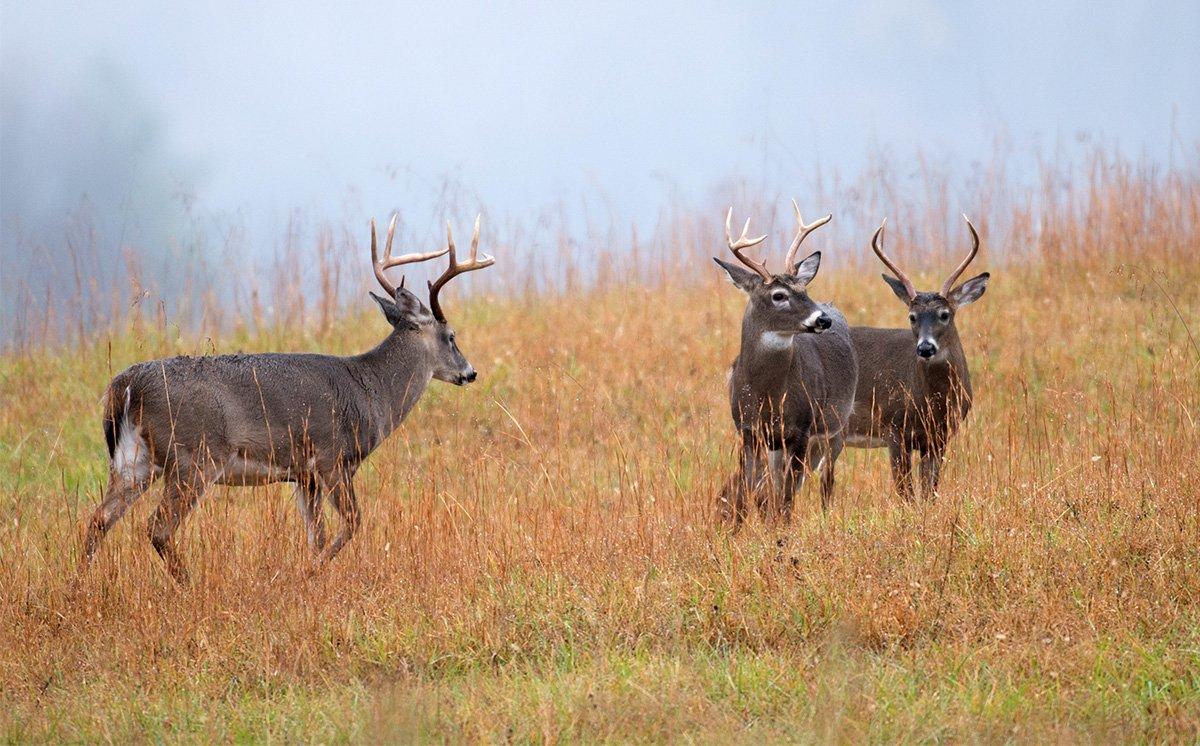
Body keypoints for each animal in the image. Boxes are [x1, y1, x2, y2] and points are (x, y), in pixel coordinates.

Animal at [81, 213, 492, 582]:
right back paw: (188, 585)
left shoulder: (302, 475)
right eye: (452, 336)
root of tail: (126, 384)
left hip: (134, 460)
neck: (371, 391)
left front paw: (310, 574)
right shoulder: (331, 458)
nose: (469, 372)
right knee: (158, 527)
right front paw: (305, 574)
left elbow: (317, 535)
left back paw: (79, 586)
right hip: (193, 457)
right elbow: (353, 523)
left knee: (98, 518)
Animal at [715, 201, 859, 522]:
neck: (766, 395)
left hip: (837, 426)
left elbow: (787, 498)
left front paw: (782, 530)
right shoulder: (747, 431)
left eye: (804, 291)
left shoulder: (800, 429)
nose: (822, 319)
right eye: (779, 295)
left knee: (826, 481)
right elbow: (750, 490)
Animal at [840, 215, 988, 503]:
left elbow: (930, 491)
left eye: (944, 314)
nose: (925, 348)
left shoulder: (939, 438)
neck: (931, 404)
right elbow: (905, 493)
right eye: (912, 316)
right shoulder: (894, 429)